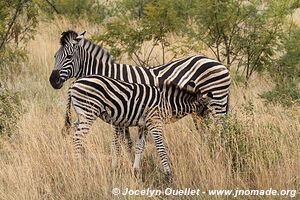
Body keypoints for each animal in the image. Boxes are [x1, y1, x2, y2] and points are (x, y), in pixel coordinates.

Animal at [50, 30, 231, 148]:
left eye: (69, 57)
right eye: (54, 56)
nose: (53, 80)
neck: (105, 74)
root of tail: (220, 64)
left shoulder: (122, 108)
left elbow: (123, 141)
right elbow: (127, 140)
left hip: (217, 104)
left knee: (223, 129)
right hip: (202, 110)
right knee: (206, 132)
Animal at [64, 74, 207, 177]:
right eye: (206, 109)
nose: (206, 128)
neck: (167, 103)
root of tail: (74, 84)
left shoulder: (143, 125)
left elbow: (139, 146)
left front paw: (136, 169)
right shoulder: (154, 122)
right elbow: (161, 147)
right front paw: (168, 172)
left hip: (80, 115)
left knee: (74, 135)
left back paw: (76, 161)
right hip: (88, 113)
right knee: (77, 138)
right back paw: (79, 167)